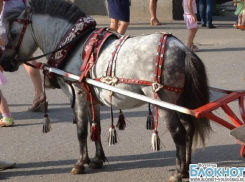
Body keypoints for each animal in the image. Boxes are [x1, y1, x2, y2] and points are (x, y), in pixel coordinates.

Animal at [0, 0, 211, 181]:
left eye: (12, 33)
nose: (5, 62)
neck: (74, 44)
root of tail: (183, 49)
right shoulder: (92, 98)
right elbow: (96, 127)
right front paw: (97, 159)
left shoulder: (79, 94)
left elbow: (81, 130)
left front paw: (80, 163)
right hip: (179, 101)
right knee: (189, 128)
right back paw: (186, 168)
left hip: (164, 100)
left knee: (179, 132)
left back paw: (178, 172)